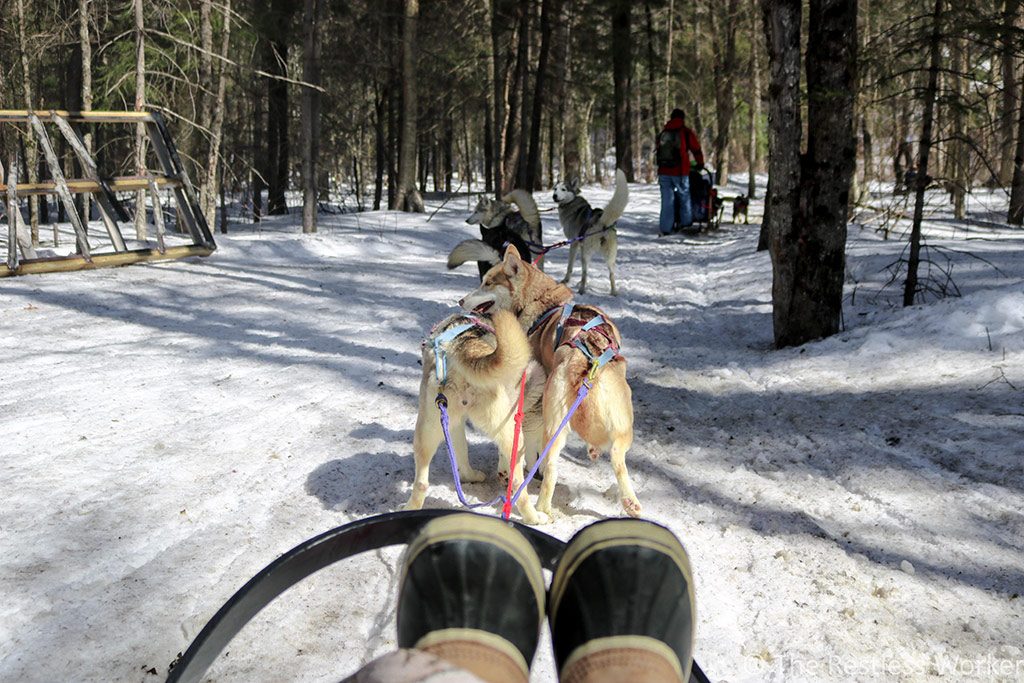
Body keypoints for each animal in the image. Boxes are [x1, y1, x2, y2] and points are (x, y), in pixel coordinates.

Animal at [401, 309, 552, 524]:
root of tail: (466, 346)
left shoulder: (454, 425)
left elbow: (462, 453)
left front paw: (468, 476)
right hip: (513, 435)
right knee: (517, 485)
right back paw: (533, 517)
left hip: (427, 429)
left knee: (421, 483)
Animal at [458, 245, 638, 518]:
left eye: (487, 282)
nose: (460, 301)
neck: (541, 306)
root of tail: (586, 360)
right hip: (621, 427)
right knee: (616, 457)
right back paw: (630, 503)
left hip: (557, 421)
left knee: (551, 463)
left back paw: (542, 506)